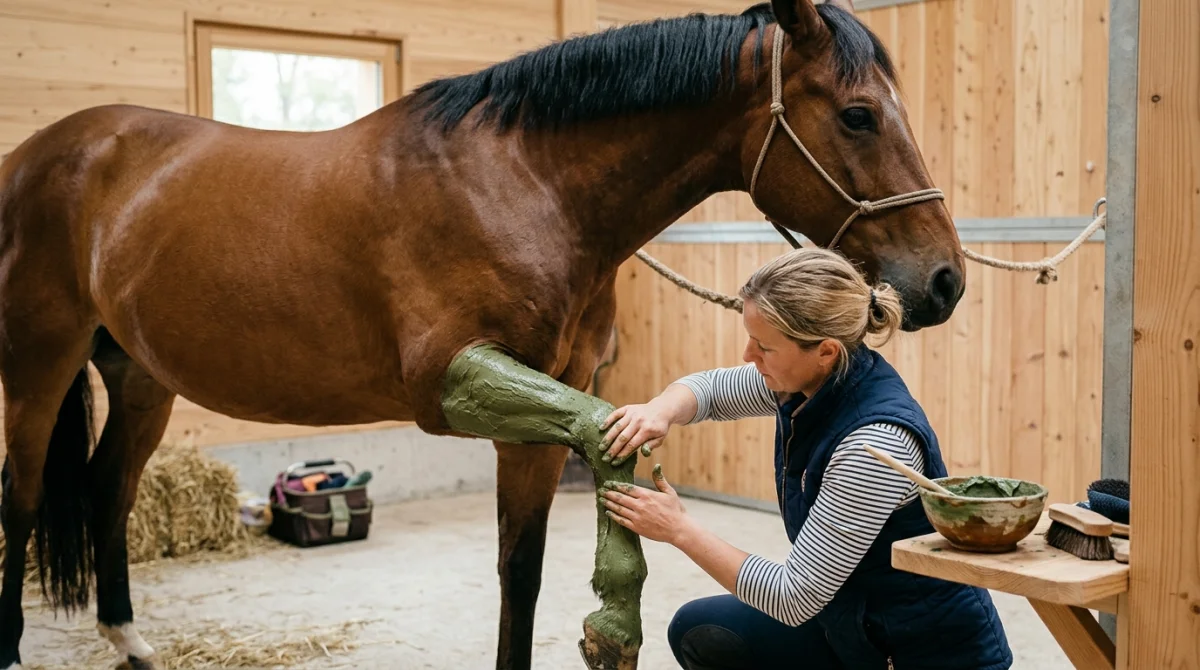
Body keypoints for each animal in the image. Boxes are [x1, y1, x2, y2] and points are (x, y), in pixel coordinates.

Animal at [0, 0, 964, 667]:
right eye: (856, 114)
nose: (943, 279)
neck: (521, 182)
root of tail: (43, 153)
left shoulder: (537, 416)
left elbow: (525, 566)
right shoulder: (455, 382)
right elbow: (593, 452)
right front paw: (615, 622)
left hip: (140, 377)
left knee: (108, 491)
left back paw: (129, 640)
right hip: (38, 362)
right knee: (23, 497)